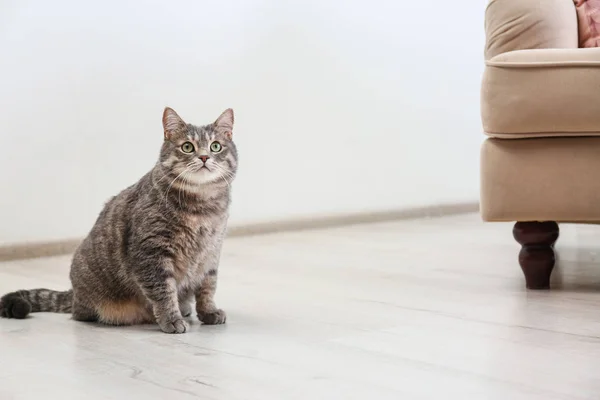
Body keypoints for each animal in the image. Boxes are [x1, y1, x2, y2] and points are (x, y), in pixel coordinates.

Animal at [0, 107, 238, 334]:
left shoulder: (212, 253)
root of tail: (74, 293)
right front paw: (172, 319)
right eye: (187, 147)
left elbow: (208, 287)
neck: (202, 207)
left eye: (216, 146)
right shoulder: (151, 253)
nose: (205, 157)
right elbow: (163, 292)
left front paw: (208, 312)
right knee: (80, 314)